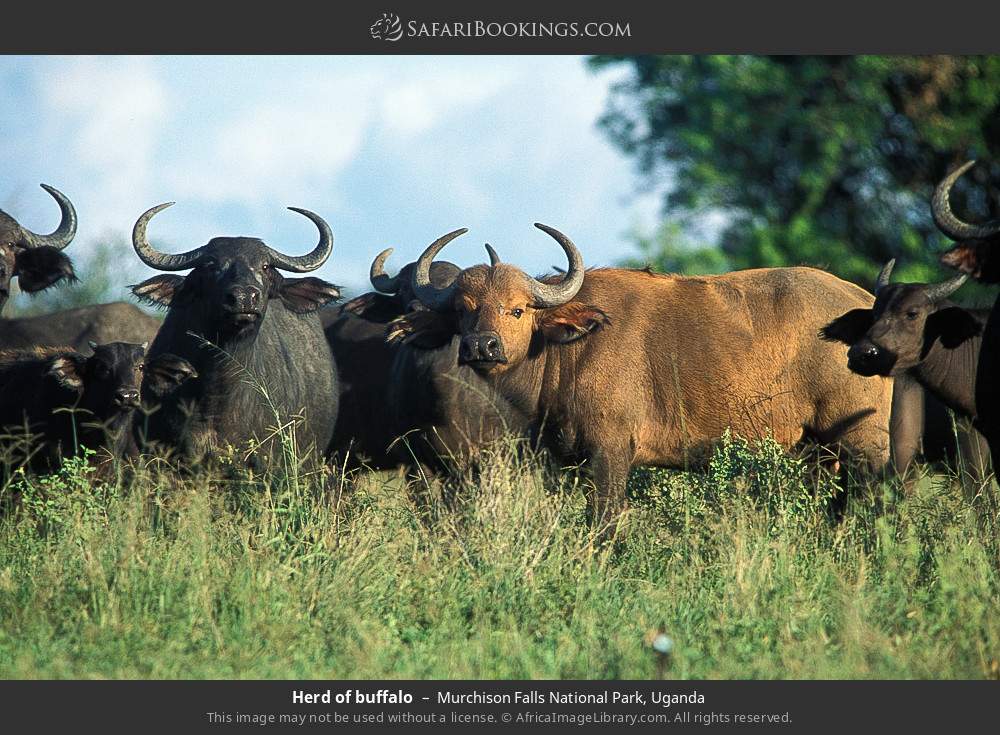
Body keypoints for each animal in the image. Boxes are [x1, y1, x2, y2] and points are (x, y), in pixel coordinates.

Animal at [388, 225, 893, 526]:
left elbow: (605, 520)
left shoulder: (611, 452)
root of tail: (865, 305)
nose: (482, 346)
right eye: (462, 311)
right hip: (819, 452)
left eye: (517, 309)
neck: (568, 351)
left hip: (863, 443)